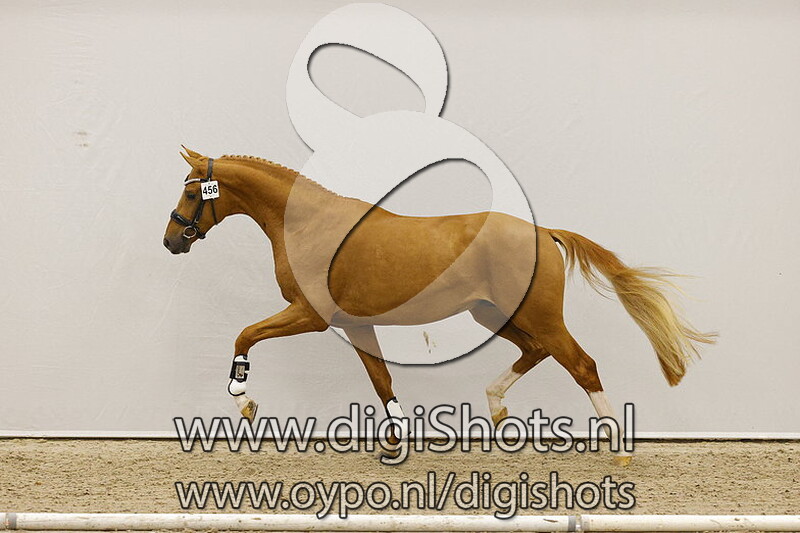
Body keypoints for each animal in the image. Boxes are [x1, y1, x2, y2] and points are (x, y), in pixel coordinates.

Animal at [163, 147, 716, 464]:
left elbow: (244, 334)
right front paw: (395, 443)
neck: (310, 225)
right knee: (536, 352)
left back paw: (618, 453)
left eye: (191, 193)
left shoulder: (312, 316)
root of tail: (544, 232)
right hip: (493, 314)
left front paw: (245, 400)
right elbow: (381, 380)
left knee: (581, 364)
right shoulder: (353, 324)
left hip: (536, 315)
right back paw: (496, 406)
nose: (171, 241)